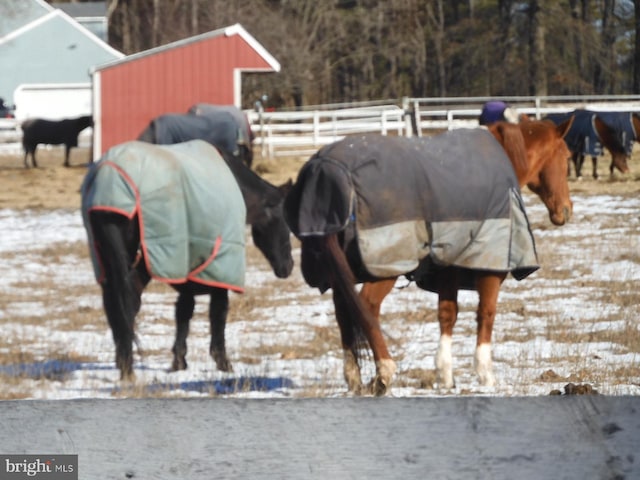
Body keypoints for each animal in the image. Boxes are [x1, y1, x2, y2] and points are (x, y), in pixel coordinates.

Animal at [81, 139, 294, 378]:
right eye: (285, 222)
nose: (288, 267)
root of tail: (109, 177)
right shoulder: (218, 264)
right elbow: (218, 311)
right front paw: (223, 363)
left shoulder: (187, 269)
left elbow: (184, 311)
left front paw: (179, 361)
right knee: (130, 298)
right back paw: (127, 366)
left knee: (114, 302)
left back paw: (123, 362)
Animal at [284, 118, 576, 396]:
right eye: (567, 157)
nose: (565, 210)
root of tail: (329, 171)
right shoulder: (489, 264)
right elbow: (486, 313)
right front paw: (485, 374)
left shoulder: (448, 265)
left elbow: (447, 314)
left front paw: (444, 375)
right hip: (384, 269)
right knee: (366, 308)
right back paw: (384, 371)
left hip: (341, 273)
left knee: (344, 312)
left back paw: (353, 378)